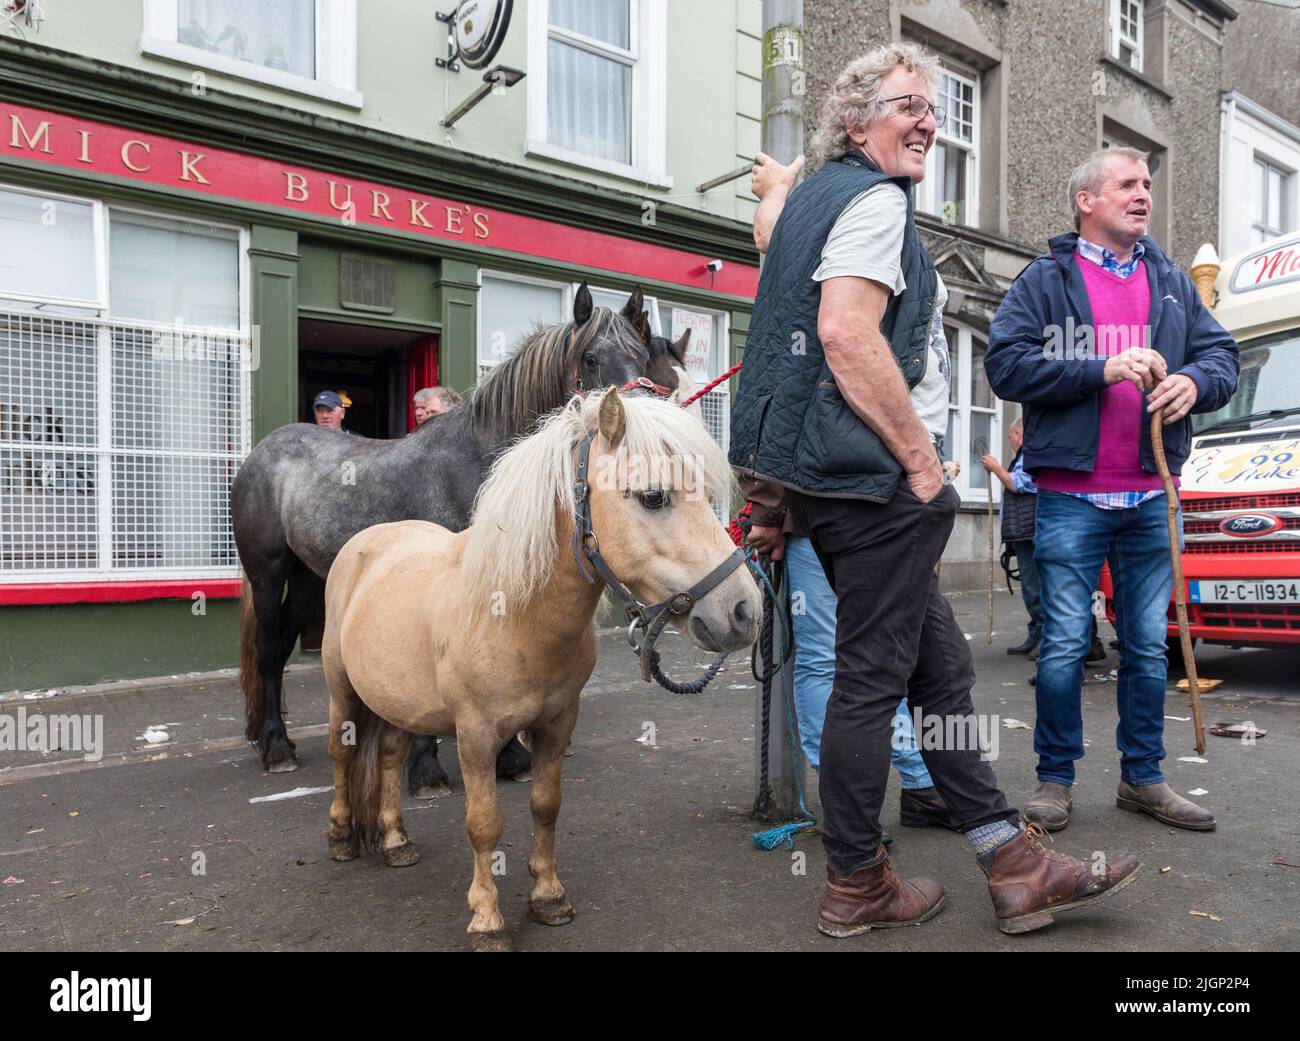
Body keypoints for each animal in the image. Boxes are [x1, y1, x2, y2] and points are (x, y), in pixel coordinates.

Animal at [321, 389, 759, 951]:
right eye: (653, 497)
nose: (745, 611)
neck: (513, 614)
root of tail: (367, 541)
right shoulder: (476, 735)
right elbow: (484, 824)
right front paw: (487, 920)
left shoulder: (556, 724)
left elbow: (546, 806)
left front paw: (548, 897)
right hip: (343, 692)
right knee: (342, 755)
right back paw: (339, 838)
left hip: (399, 703)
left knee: (392, 757)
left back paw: (396, 841)